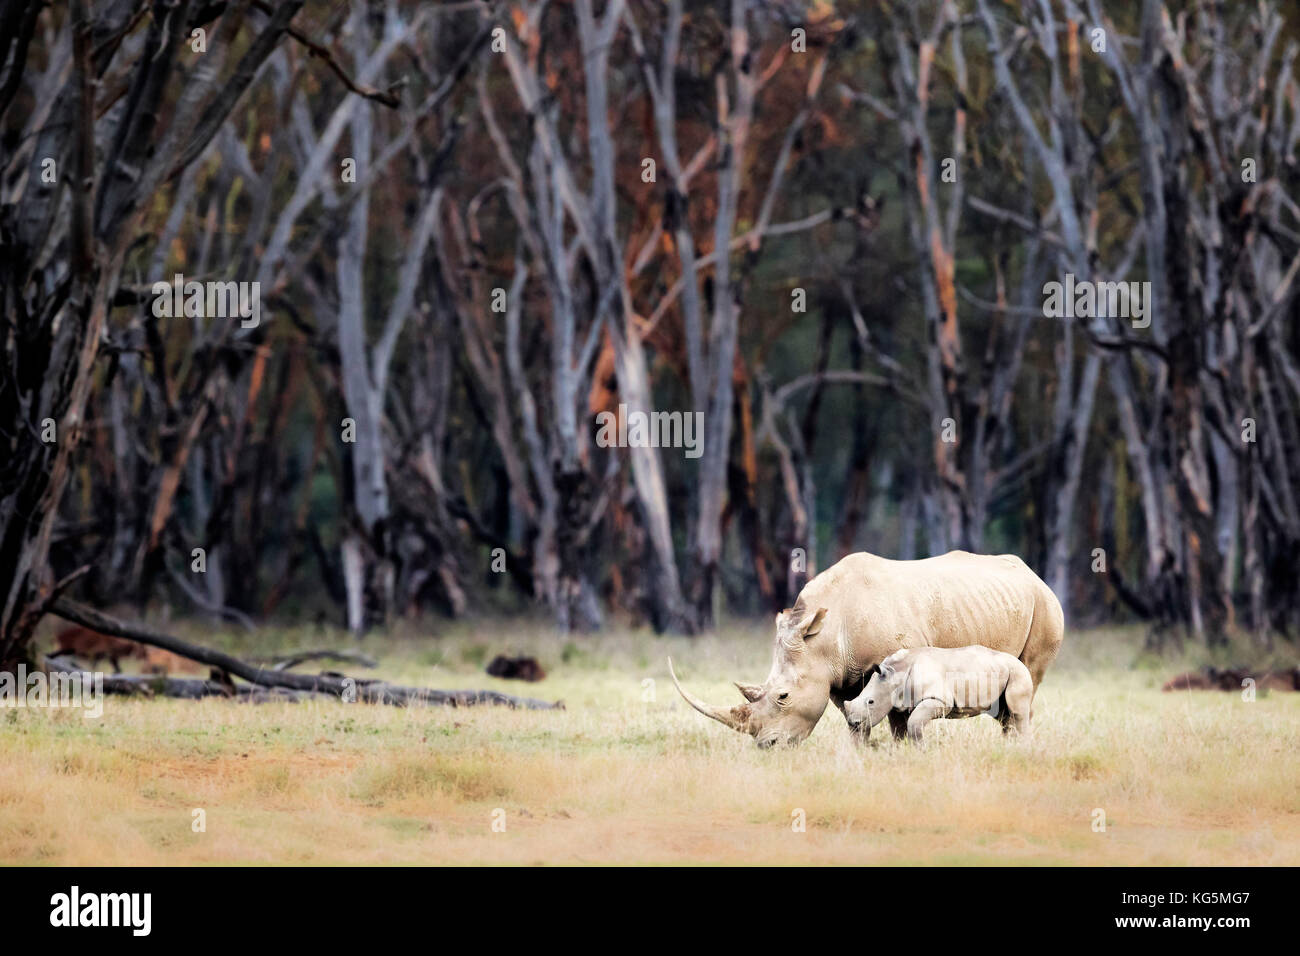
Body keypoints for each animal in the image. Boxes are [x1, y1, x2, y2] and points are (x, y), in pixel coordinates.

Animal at [842, 647, 1034, 743]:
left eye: (871, 702)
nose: (853, 723)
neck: (896, 673)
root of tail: (1018, 661)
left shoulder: (939, 699)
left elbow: (914, 723)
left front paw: (921, 751)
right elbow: (905, 726)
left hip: (1018, 671)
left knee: (1017, 712)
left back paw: (1020, 747)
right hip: (1000, 670)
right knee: (1004, 715)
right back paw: (1008, 745)